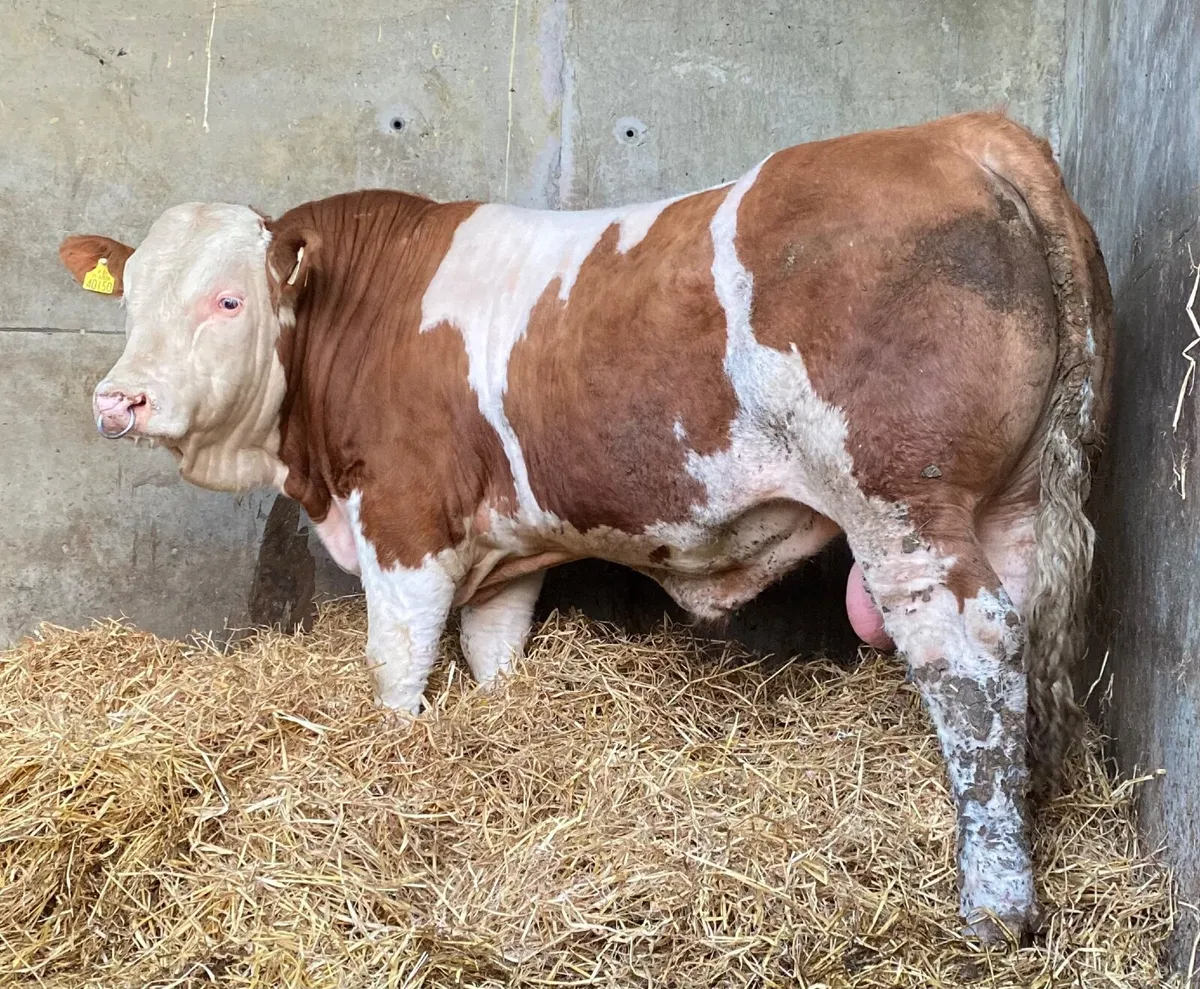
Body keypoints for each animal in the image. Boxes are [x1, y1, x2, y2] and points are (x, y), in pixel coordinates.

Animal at [59, 112, 1112, 941]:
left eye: (229, 298)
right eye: (134, 294)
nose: (119, 399)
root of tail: (968, 133)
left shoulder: (405, 520)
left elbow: (397, 670)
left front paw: (394, 763)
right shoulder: (508, 550)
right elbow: (494, 656)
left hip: (905, 502)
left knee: (968, 655)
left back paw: (997, 904)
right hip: (1016, 499)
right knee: (1021, 637)